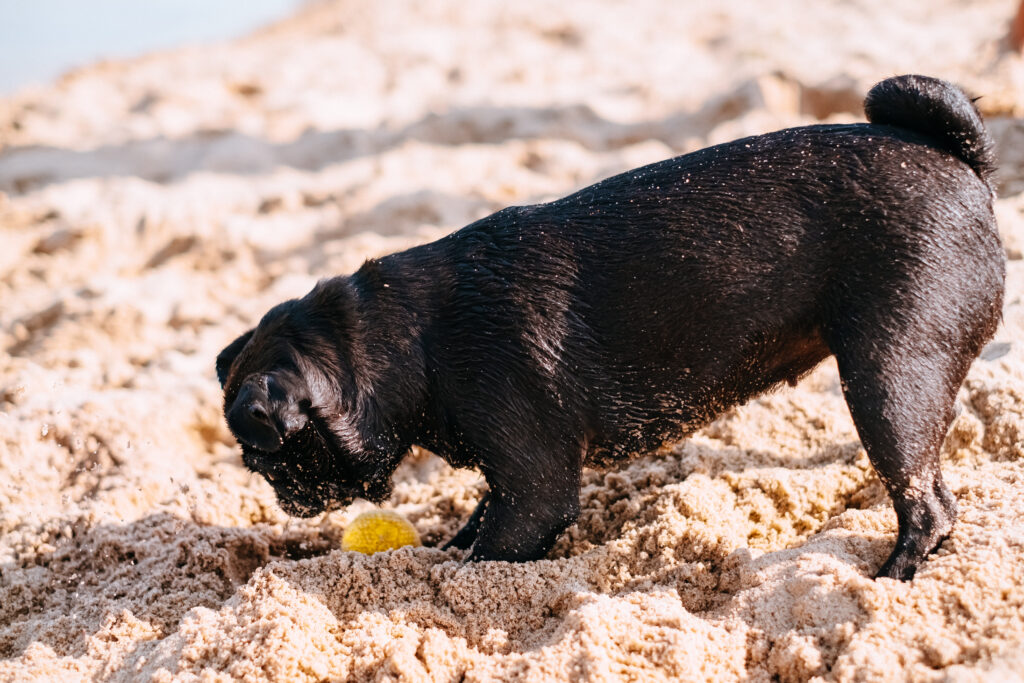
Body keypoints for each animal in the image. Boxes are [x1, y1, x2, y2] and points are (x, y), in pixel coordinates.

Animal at [218, 76, 1007, 581]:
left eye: (273, 460)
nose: (284, 499)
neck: (411, 340)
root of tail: (959, 160)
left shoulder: (534, 491)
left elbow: (493, 546)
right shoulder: (508, 479)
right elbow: (475, 519)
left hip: (889, 379)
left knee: (927, 502)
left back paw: (892, 576)